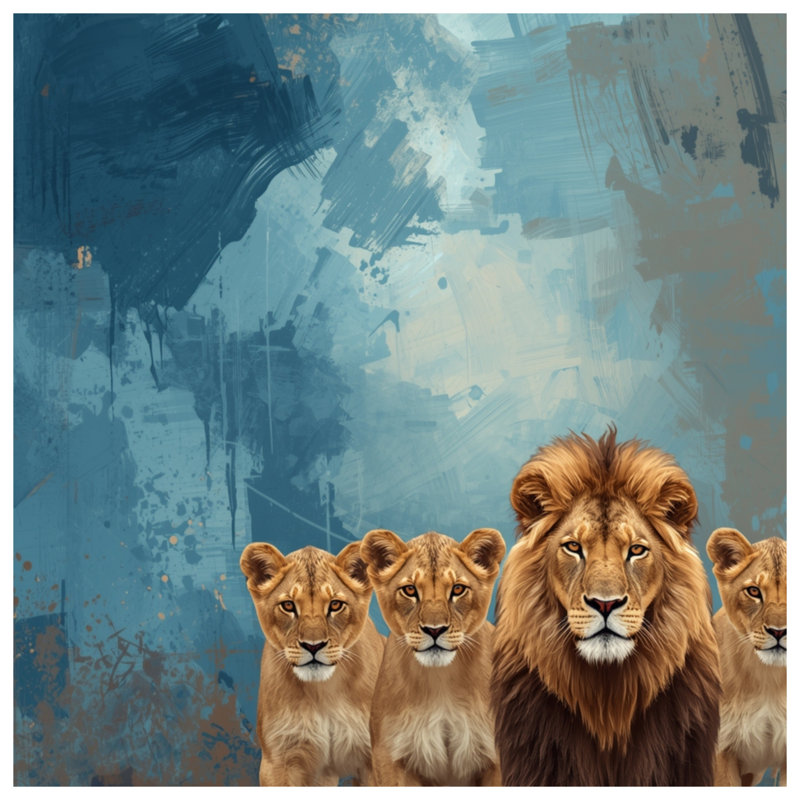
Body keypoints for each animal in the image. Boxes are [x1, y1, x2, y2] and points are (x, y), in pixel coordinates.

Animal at [239, 540, 385, 786]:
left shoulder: (374, 758)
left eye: (335, 605)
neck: (323, 691)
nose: (313, 646)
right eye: (288, 606)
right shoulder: (279, 759)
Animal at [360, 527, 506, 786]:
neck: (440, 680)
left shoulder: (496, 757)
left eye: (458, 589)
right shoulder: (390, 756)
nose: (435, 630)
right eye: (410, 590)